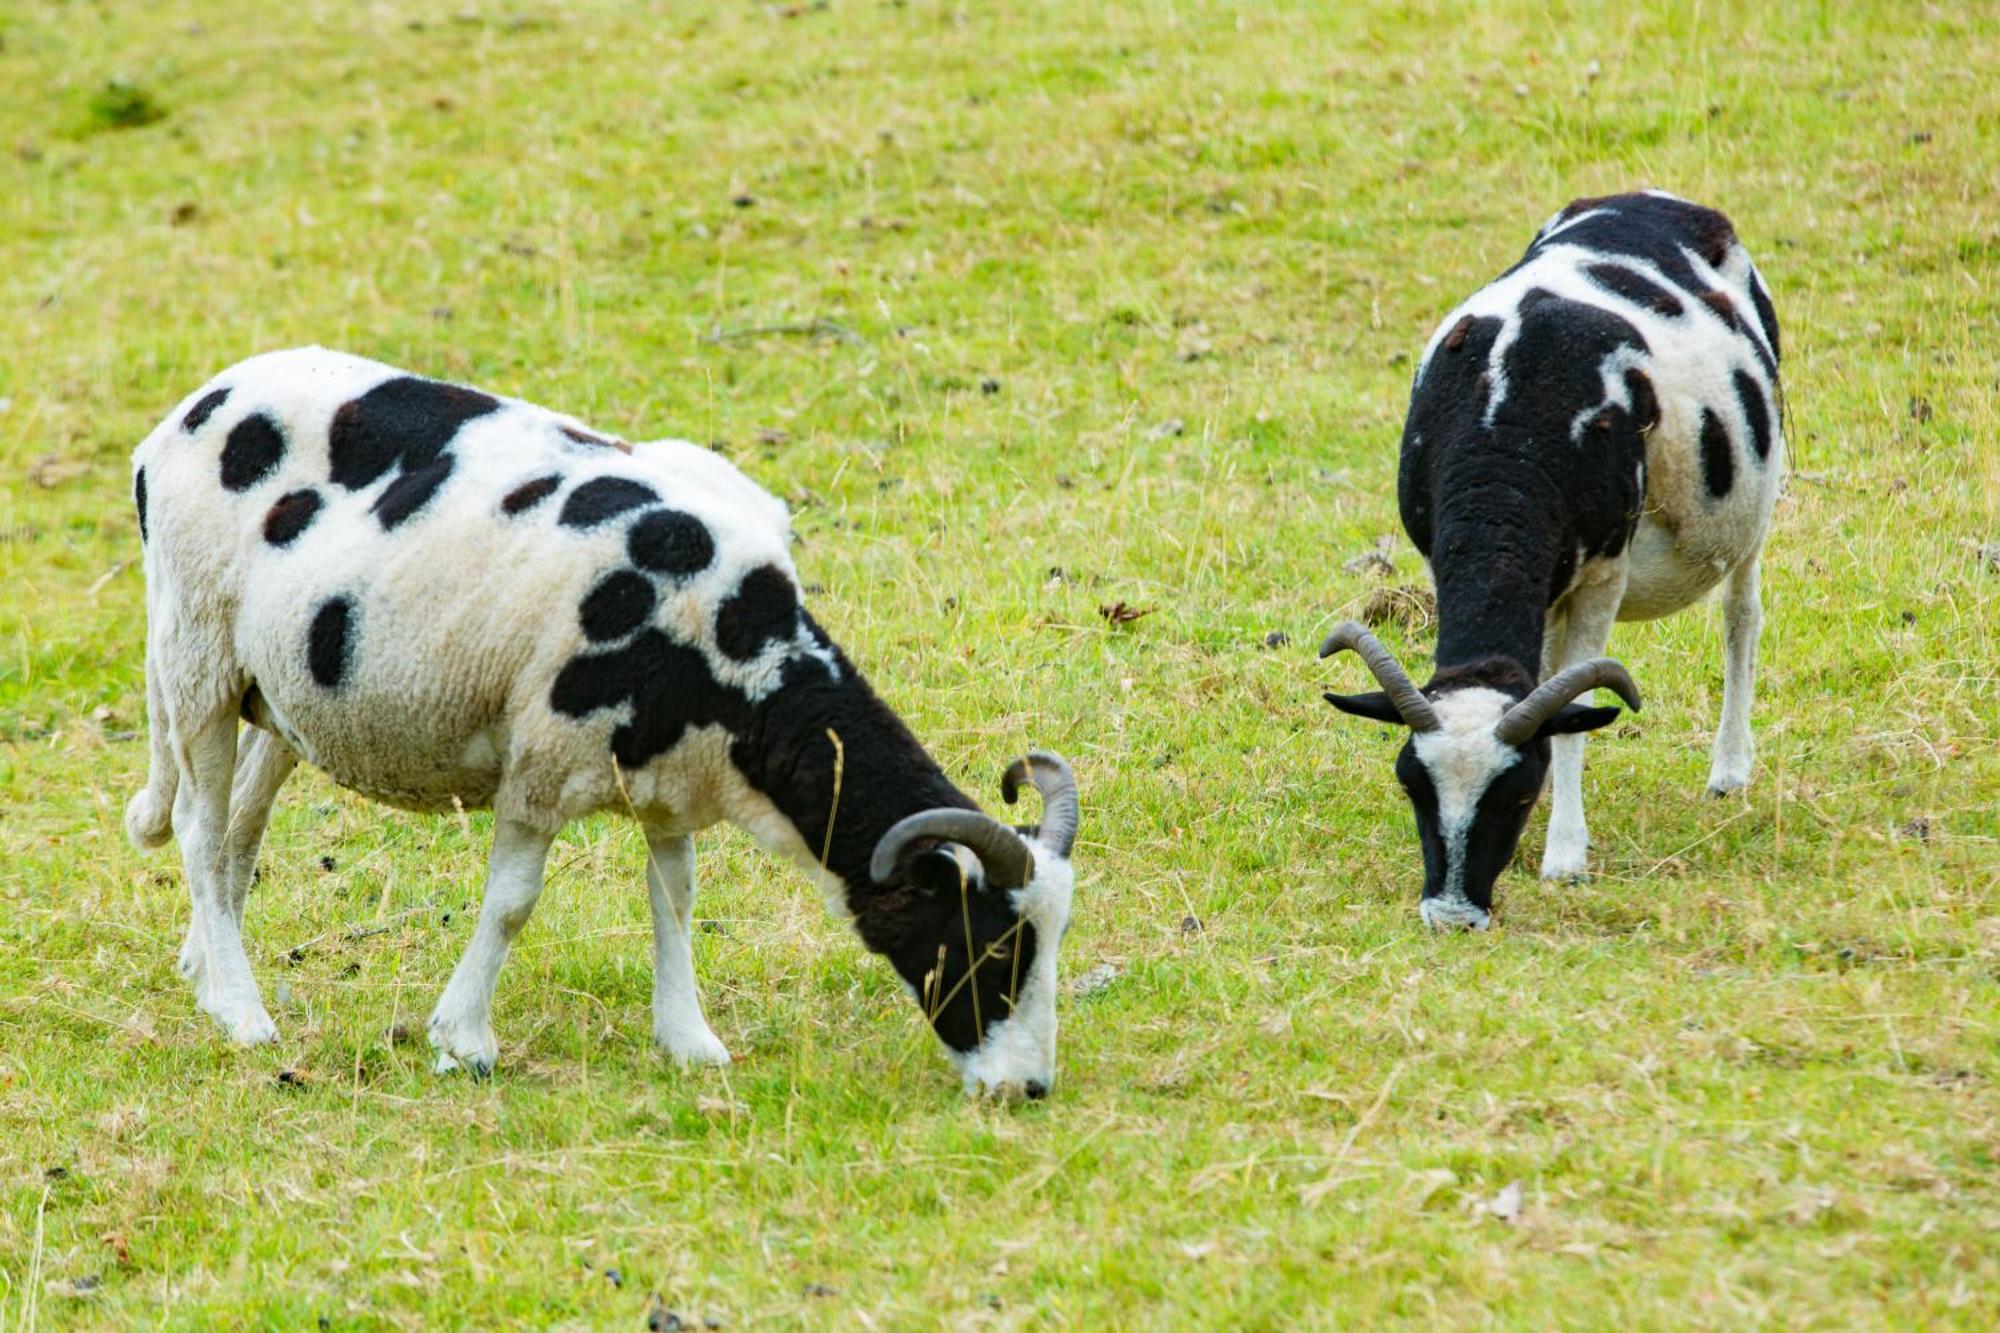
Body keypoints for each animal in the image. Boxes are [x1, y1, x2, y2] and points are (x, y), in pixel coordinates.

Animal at [125, 344, 1080, 1096]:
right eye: (996, 946)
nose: (1028, 1088)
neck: (740, 658)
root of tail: (184, 413)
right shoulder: (542, 764)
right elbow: (514, 903)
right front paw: (462, 1040)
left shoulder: (671, 781)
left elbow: (676, 897)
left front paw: (689, 1039)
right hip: (196, 656)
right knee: (200, 831)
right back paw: (242, 1012)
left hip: (275, 691)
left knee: (240, 829)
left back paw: (206, 969)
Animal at [1328, 192, 1784, 928]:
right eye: (1411, 785)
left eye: (1515, 791)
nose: (1452, 916)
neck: (1504, 427)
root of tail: (1647, 198)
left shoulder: (1603, 573)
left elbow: (1575, 709)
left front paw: (1564, 857)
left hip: (1751, 511)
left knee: (1742, 617)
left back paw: (1729, 770)